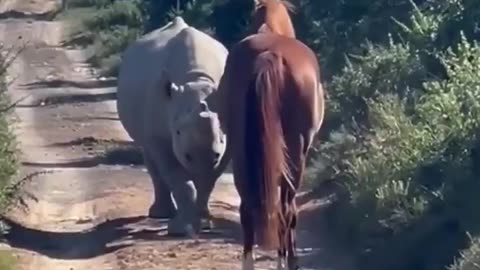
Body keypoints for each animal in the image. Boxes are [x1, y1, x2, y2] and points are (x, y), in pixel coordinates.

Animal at [116, 16, 229, 236]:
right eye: (176, 131)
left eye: (222, 131)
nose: (200, 157)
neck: (197, 78)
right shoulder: (160, 136)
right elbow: (178, 179)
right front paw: (181, 229)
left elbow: (208, 181)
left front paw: (204, 224)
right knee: (150, 156)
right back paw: (159, 214)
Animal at [217, 32, 324, 268]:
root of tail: (270, 54)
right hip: (295, 155)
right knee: (287, 211)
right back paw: (287, 262)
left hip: (241, 153)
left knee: (247, 212)